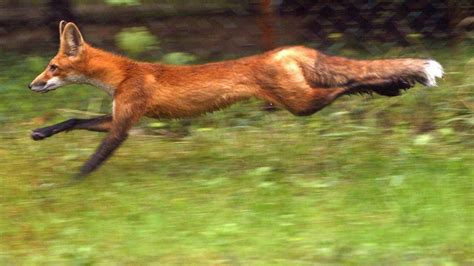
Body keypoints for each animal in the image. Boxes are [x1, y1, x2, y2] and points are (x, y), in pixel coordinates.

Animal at [29, 20, 444, 179]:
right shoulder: (122, 116)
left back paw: (391, 85)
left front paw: (65, 187)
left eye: (52, 67)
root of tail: (286, 49)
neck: (123, 75)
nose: (32, 85)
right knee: (350, 83)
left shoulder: (123, 126)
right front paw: (42, 133)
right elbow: (73, 122)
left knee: (349, 85)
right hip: (300, 99)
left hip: (300, 105)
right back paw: (391, 85)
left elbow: (92, 160)